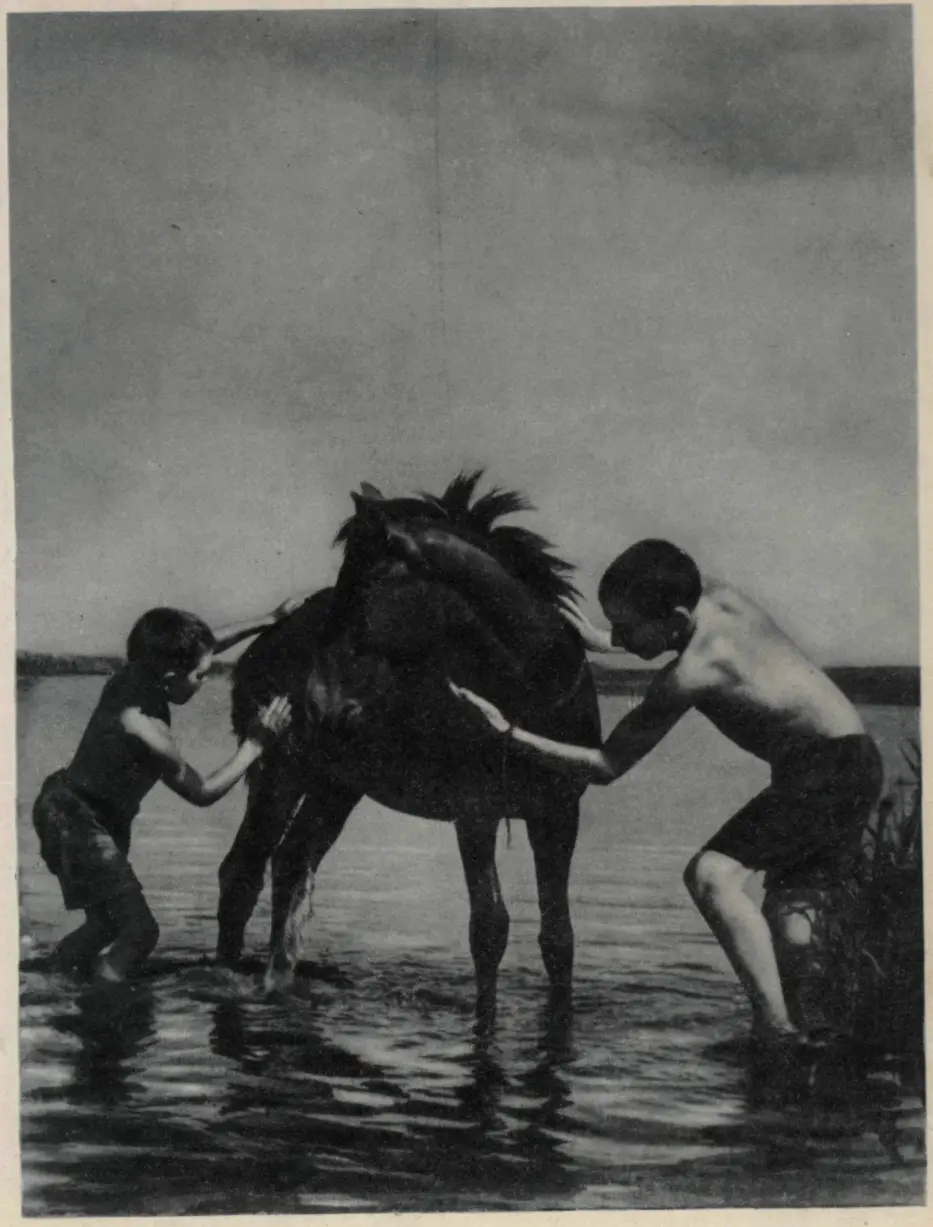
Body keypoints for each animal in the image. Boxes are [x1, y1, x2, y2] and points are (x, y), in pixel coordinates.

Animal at [214, 468, 601, 1015]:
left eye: (369, 583)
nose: (317, 703)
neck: (528, 689)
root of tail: (261, 645)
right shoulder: (476, 814)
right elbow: (489, 928)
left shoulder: (559, 813)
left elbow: (558, 937)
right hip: (281, 771)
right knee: (243, 870)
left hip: (337, 784)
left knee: (292, 860)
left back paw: (280, 975)